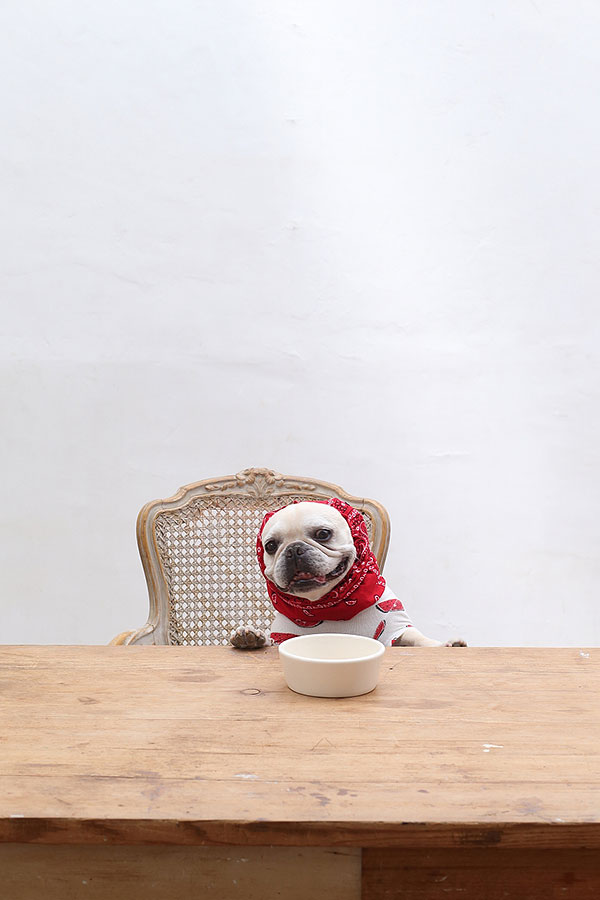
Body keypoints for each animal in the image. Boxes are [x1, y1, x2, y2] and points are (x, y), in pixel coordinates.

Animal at [231, 499, 466, 649]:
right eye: (270, 546)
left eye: (323, 534)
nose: (293, 550)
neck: (329, 606)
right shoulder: (283, 636)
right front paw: (251, 636)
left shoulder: (396, 630)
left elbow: (417, 638)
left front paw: (445, 644)